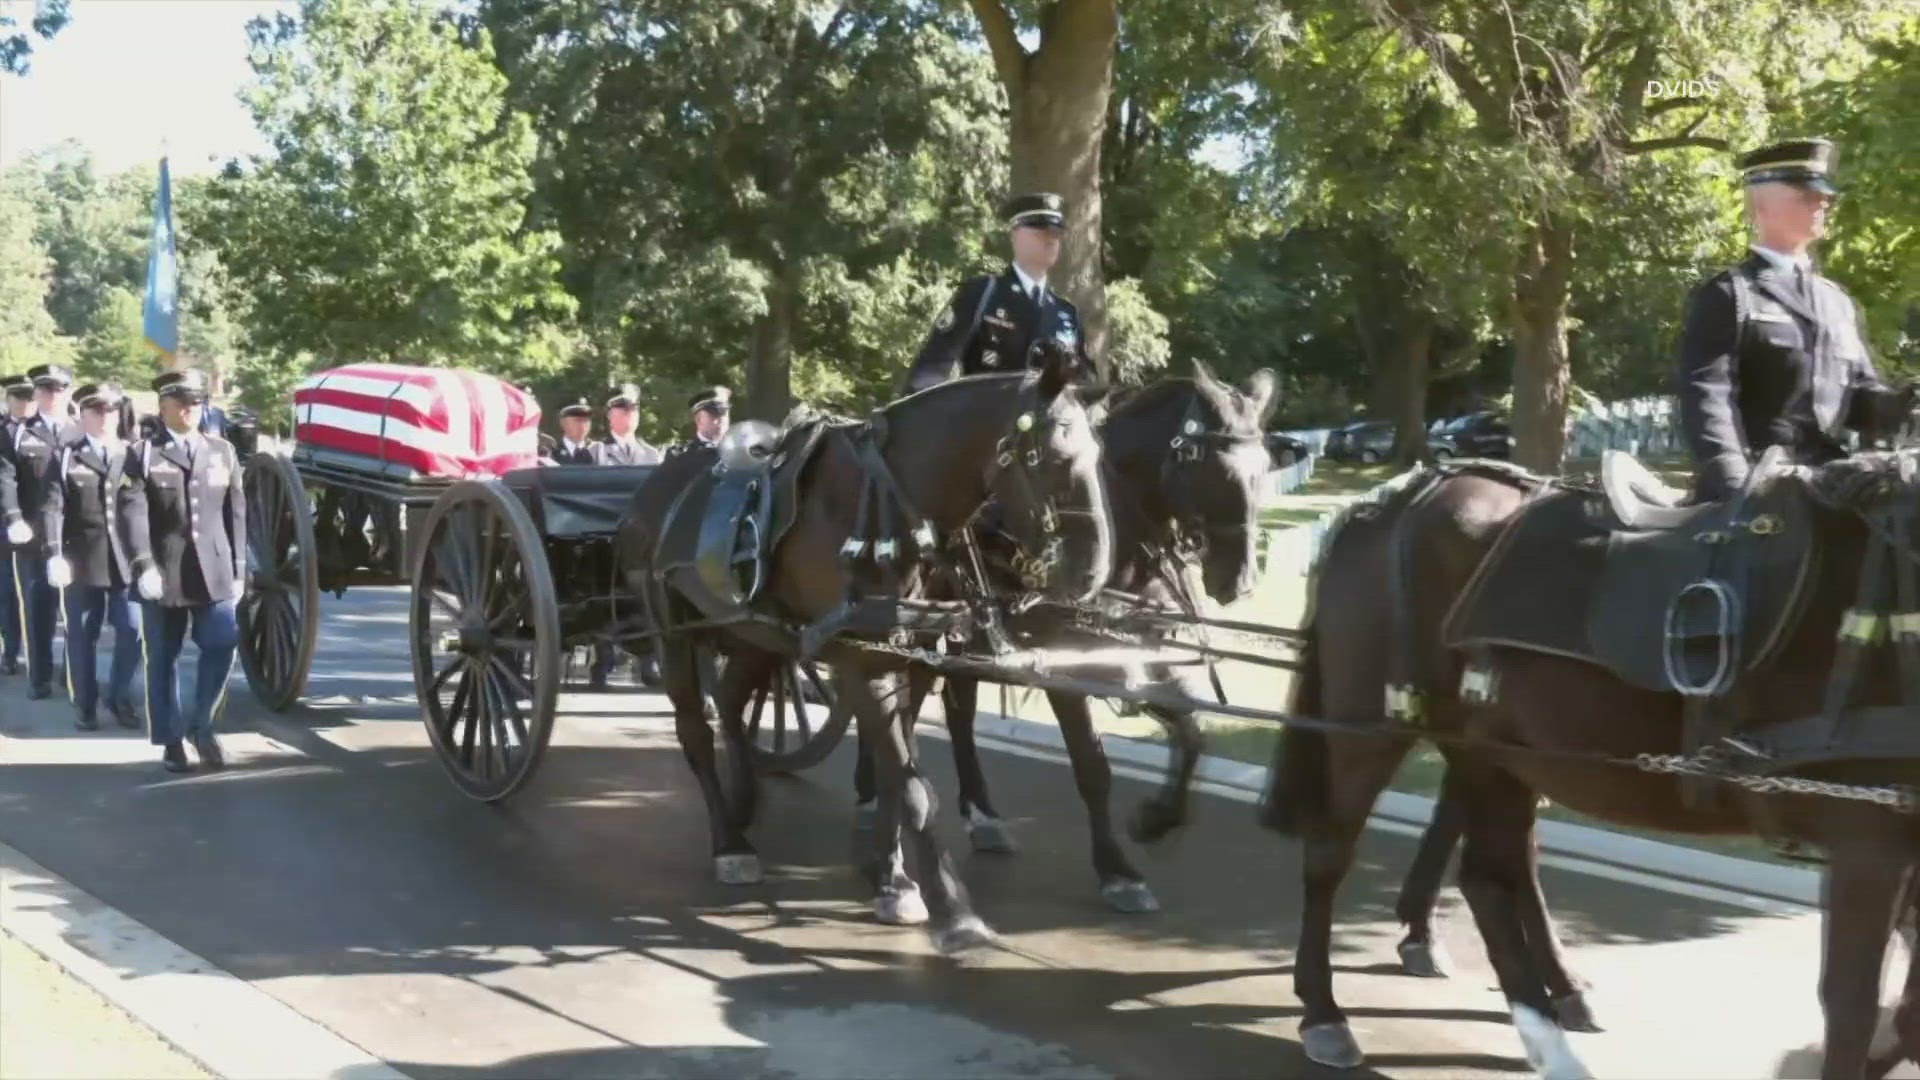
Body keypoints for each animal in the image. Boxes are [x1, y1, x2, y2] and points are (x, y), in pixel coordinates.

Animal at [618, 345, 1113, 949]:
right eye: (1048, 456)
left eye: (1098, 453)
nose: (1090, 572)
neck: (890, 501)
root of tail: (654, 486)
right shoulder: (865, 663)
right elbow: (912, 786)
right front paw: (952, 909)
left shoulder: (910, 660)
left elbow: (894, 776)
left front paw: (892, 878)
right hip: (672, 635)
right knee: (694, 728)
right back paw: (729, 843)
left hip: (756, 634)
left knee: (733, 702)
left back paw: (743, 802)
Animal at [852, 361, 1282, 907]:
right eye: (1211, 465)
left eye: (1264, 467)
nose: (1239, 581)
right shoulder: (1063, 669)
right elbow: (1092, 766)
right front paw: (1117, 869)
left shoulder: (1131, 657)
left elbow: (1191, 733)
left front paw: (1157, 819)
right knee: (892, 712)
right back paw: (875, 798)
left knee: (955, 715)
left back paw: (980, 814)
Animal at [1267, 461, 1920, 1076]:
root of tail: (1402, 493)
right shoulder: (1868, 840)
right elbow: (1853, 1001)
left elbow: (1904, 1009)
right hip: (1368, 727)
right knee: (1333, 852)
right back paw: (1325, 1013)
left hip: (1499, 753)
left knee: (1494, 876)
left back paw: (1550, 1014)